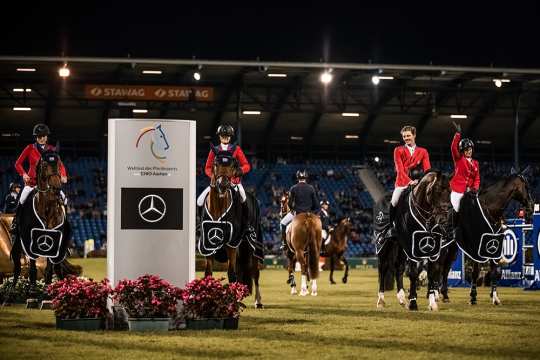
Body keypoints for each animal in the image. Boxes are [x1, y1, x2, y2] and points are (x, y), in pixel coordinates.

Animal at [199, 148, 264, 308]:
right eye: (215, 164)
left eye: (233, 164)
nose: (223, 185)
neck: (218, 207)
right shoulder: (208, 245)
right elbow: (208, 274)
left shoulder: (231, 244)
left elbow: (231, 273)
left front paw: (233, 304)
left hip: (253, 246)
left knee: (255, 272)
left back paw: (258, 301)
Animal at [392, 170, 452, 310]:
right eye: (436, 191)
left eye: (450, 191)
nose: (443, 219)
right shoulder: (411, 246)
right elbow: (413, 273)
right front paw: (413, 302)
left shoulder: (435, 248)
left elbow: (432, 272)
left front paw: (432, 302)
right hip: (400, 245)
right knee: (399, 267)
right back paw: (402, 297)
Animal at [438, 170, 536, 306]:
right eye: (526, 187)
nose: (531, 208)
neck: (490, 208)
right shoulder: (475, 247)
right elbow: (475, 272)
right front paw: (473, 296)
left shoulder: (493, 244)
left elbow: (494, 271)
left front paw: (495, 297)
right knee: (440, 265)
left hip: (453, 247)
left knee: (446, 267)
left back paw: (445, 295)